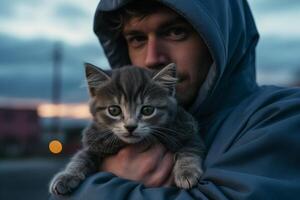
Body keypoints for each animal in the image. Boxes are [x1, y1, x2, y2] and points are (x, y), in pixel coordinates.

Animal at [49, 63, 205, 195]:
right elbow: (81, 158)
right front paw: (66, 176)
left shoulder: (187, 128)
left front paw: (186, 172)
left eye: (147, 110)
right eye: (114, 110)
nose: (130, 126)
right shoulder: (94, 143)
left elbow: (189, 149)